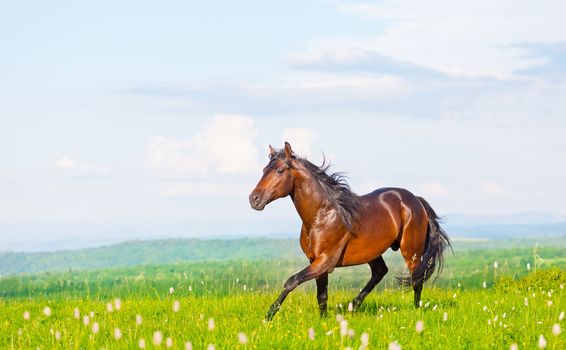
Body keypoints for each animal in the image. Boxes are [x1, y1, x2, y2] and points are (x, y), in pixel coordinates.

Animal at [250, 142, 452, 320]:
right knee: (381, 271)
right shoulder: (316, 261)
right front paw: (323, 321)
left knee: (416, 279)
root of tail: (416, 200)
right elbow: (321, 295)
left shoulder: (325, 260)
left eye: (280, 170)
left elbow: (292, 281)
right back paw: (354, 305)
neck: (321, 215)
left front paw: (269, 314)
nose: (254, 199)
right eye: (264, 170)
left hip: (411, 251)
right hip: (373, 252)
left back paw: (416, 311)